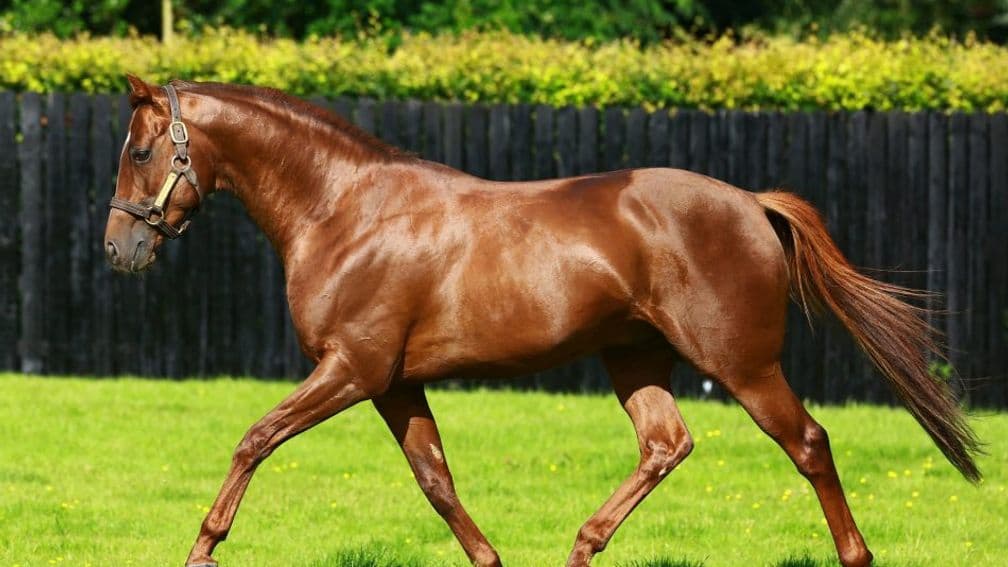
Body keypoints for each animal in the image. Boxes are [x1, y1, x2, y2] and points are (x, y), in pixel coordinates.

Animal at [104, 75, 980, 567]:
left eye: (141, 152)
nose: (119, 248)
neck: (345, 211)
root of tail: (752, 203)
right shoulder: (391, 383)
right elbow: (436, 480)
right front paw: (492, 558)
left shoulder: (350, 368)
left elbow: (254, 438)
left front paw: (202, 549)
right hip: (635, 359)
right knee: (667, 444)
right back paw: (581, 546)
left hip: (743, 365)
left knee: (809, 444)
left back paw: (856, 554)